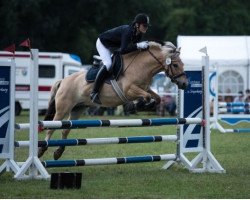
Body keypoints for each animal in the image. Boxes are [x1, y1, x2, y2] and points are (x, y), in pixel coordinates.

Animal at [38, 40, 188, 159]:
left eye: (182, 64)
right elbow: (147, 96)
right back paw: (41, 150)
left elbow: (156, 98)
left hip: (77, 109)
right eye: (175, 65)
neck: (141, 66)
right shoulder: (129, 90)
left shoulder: (145, 88)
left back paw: (58, 152)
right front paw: (134, 106)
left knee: (65, 129)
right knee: (51, 128)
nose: (184, 84)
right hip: (63, 108)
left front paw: (139, 106)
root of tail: (63, 80)